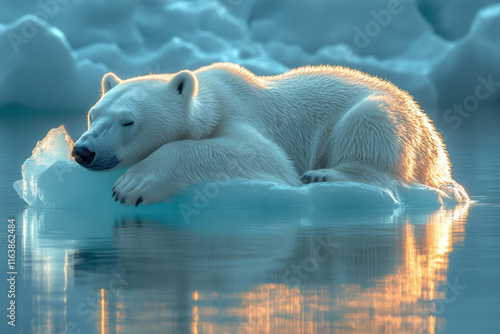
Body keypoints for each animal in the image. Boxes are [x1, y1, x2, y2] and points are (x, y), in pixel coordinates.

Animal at [70, 61, 468, 205]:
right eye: (93, 115)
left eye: (128, 121)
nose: (82, 151)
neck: (212, 96)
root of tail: (441, 159)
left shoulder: (241, 114)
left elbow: (264, 157)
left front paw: (133, 185)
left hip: (388, 117)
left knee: (370, 129)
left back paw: (324, 174)